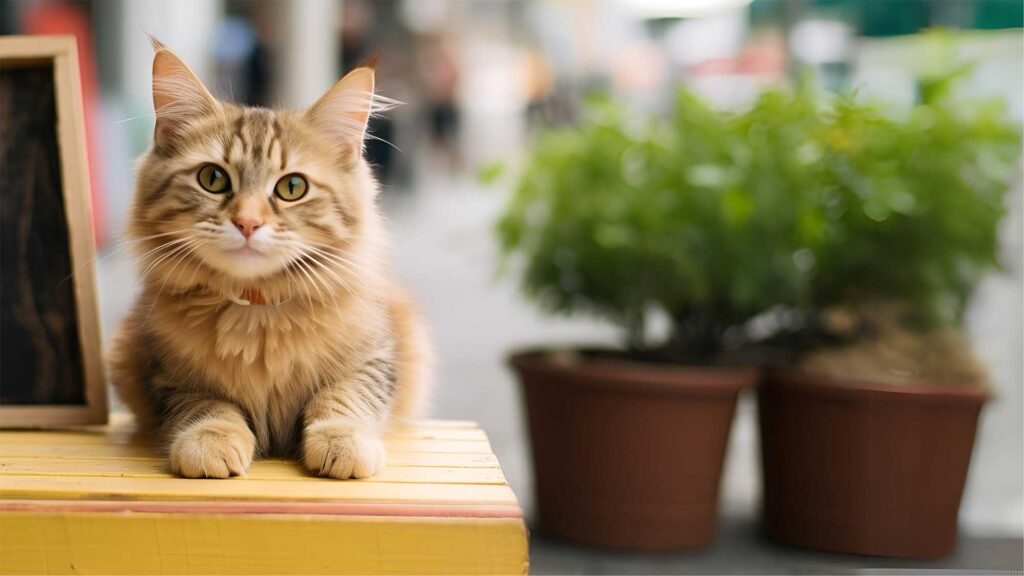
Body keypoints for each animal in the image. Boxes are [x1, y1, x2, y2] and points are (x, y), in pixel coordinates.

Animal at [109, 40, 432, 477]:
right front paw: (210, 441)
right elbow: (208, 405)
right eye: (213, 179)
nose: (247, 222)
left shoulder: (378, 355)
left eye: (292, 187)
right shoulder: (164, 371)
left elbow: (343, 396)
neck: (257, 314)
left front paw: (342, 440)